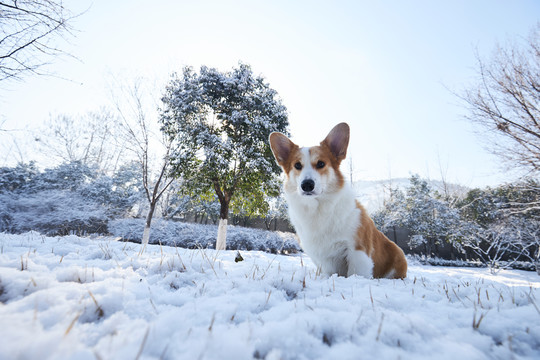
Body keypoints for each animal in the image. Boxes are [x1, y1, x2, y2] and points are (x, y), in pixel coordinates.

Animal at [268, 123, 408, 278]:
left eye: (321, 163)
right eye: (297, 165)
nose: (307, 185)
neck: (318, 208)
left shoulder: (357, 250)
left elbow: (355, 273)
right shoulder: (324, 259)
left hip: (398, 254)